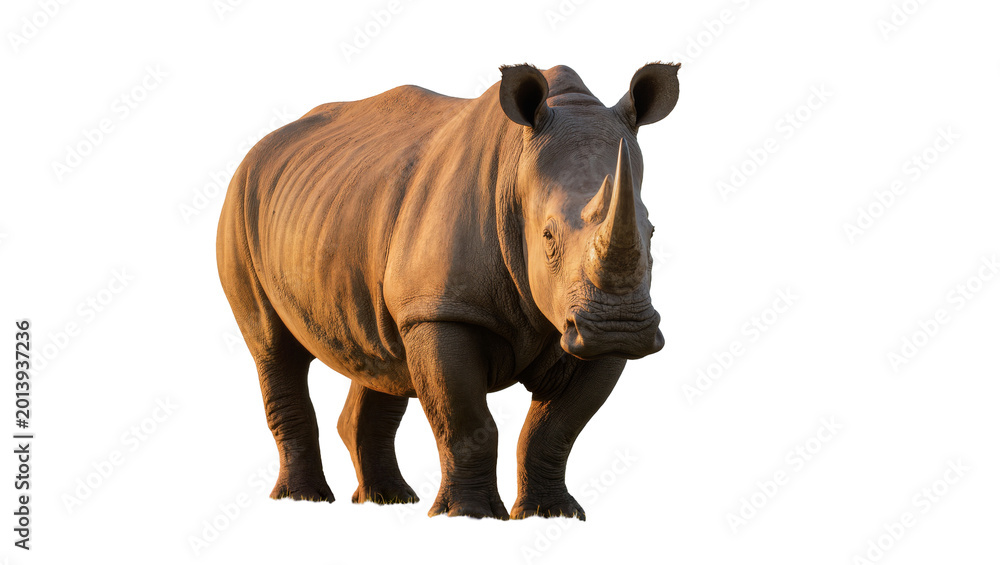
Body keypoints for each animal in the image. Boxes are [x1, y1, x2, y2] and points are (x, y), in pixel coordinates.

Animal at [217, 62, 679, 520]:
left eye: (653, 232)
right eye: (548, 237)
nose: (620, 327)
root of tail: (257, 150)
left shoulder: (577, 328)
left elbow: (555, 429)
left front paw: (551, 514)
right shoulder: (442, 310)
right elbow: (465, 421)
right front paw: (468, 515)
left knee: (380, 356)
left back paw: (388, 500)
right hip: (240, 206)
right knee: (274, 348)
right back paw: (304, 500)